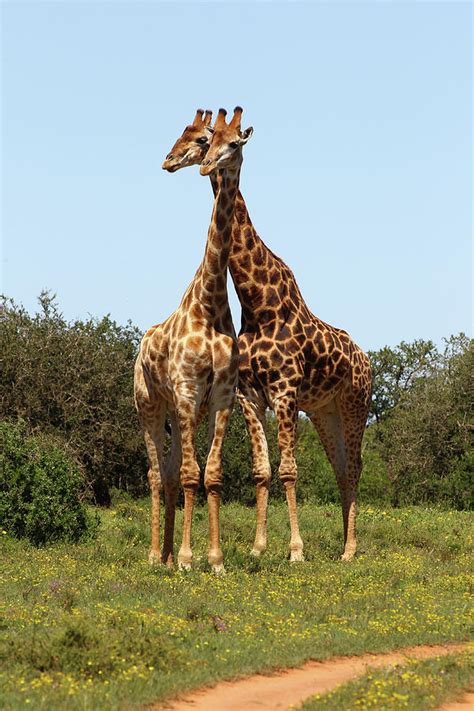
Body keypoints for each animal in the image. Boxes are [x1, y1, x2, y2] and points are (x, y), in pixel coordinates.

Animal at [133, 104, 252, 572]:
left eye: (231, 142)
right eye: (207, 139)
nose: (170, 162)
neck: (210, 302)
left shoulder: (220, 395)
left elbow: (210, 474)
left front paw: (214, 559)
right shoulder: (186, 390)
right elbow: (189, 474)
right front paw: (187, 558)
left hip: (180, 410)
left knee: (167, 473)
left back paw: (165, 554)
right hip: (149, 405)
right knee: (155, 474)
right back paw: (155, 555)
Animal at [163, 108, 370, 564]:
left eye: (225, 142)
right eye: (201, 139)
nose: (171, 161)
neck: (257, 301)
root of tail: (366, 359)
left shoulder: (285, 389)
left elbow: (289, 470)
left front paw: (295, 550)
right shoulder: (250, 395)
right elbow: (262, 471)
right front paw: (259, 549)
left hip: (355, 406)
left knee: (355, 469)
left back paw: (350, 550)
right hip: (325, 411)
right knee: (341, 470)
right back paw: (343, 547)